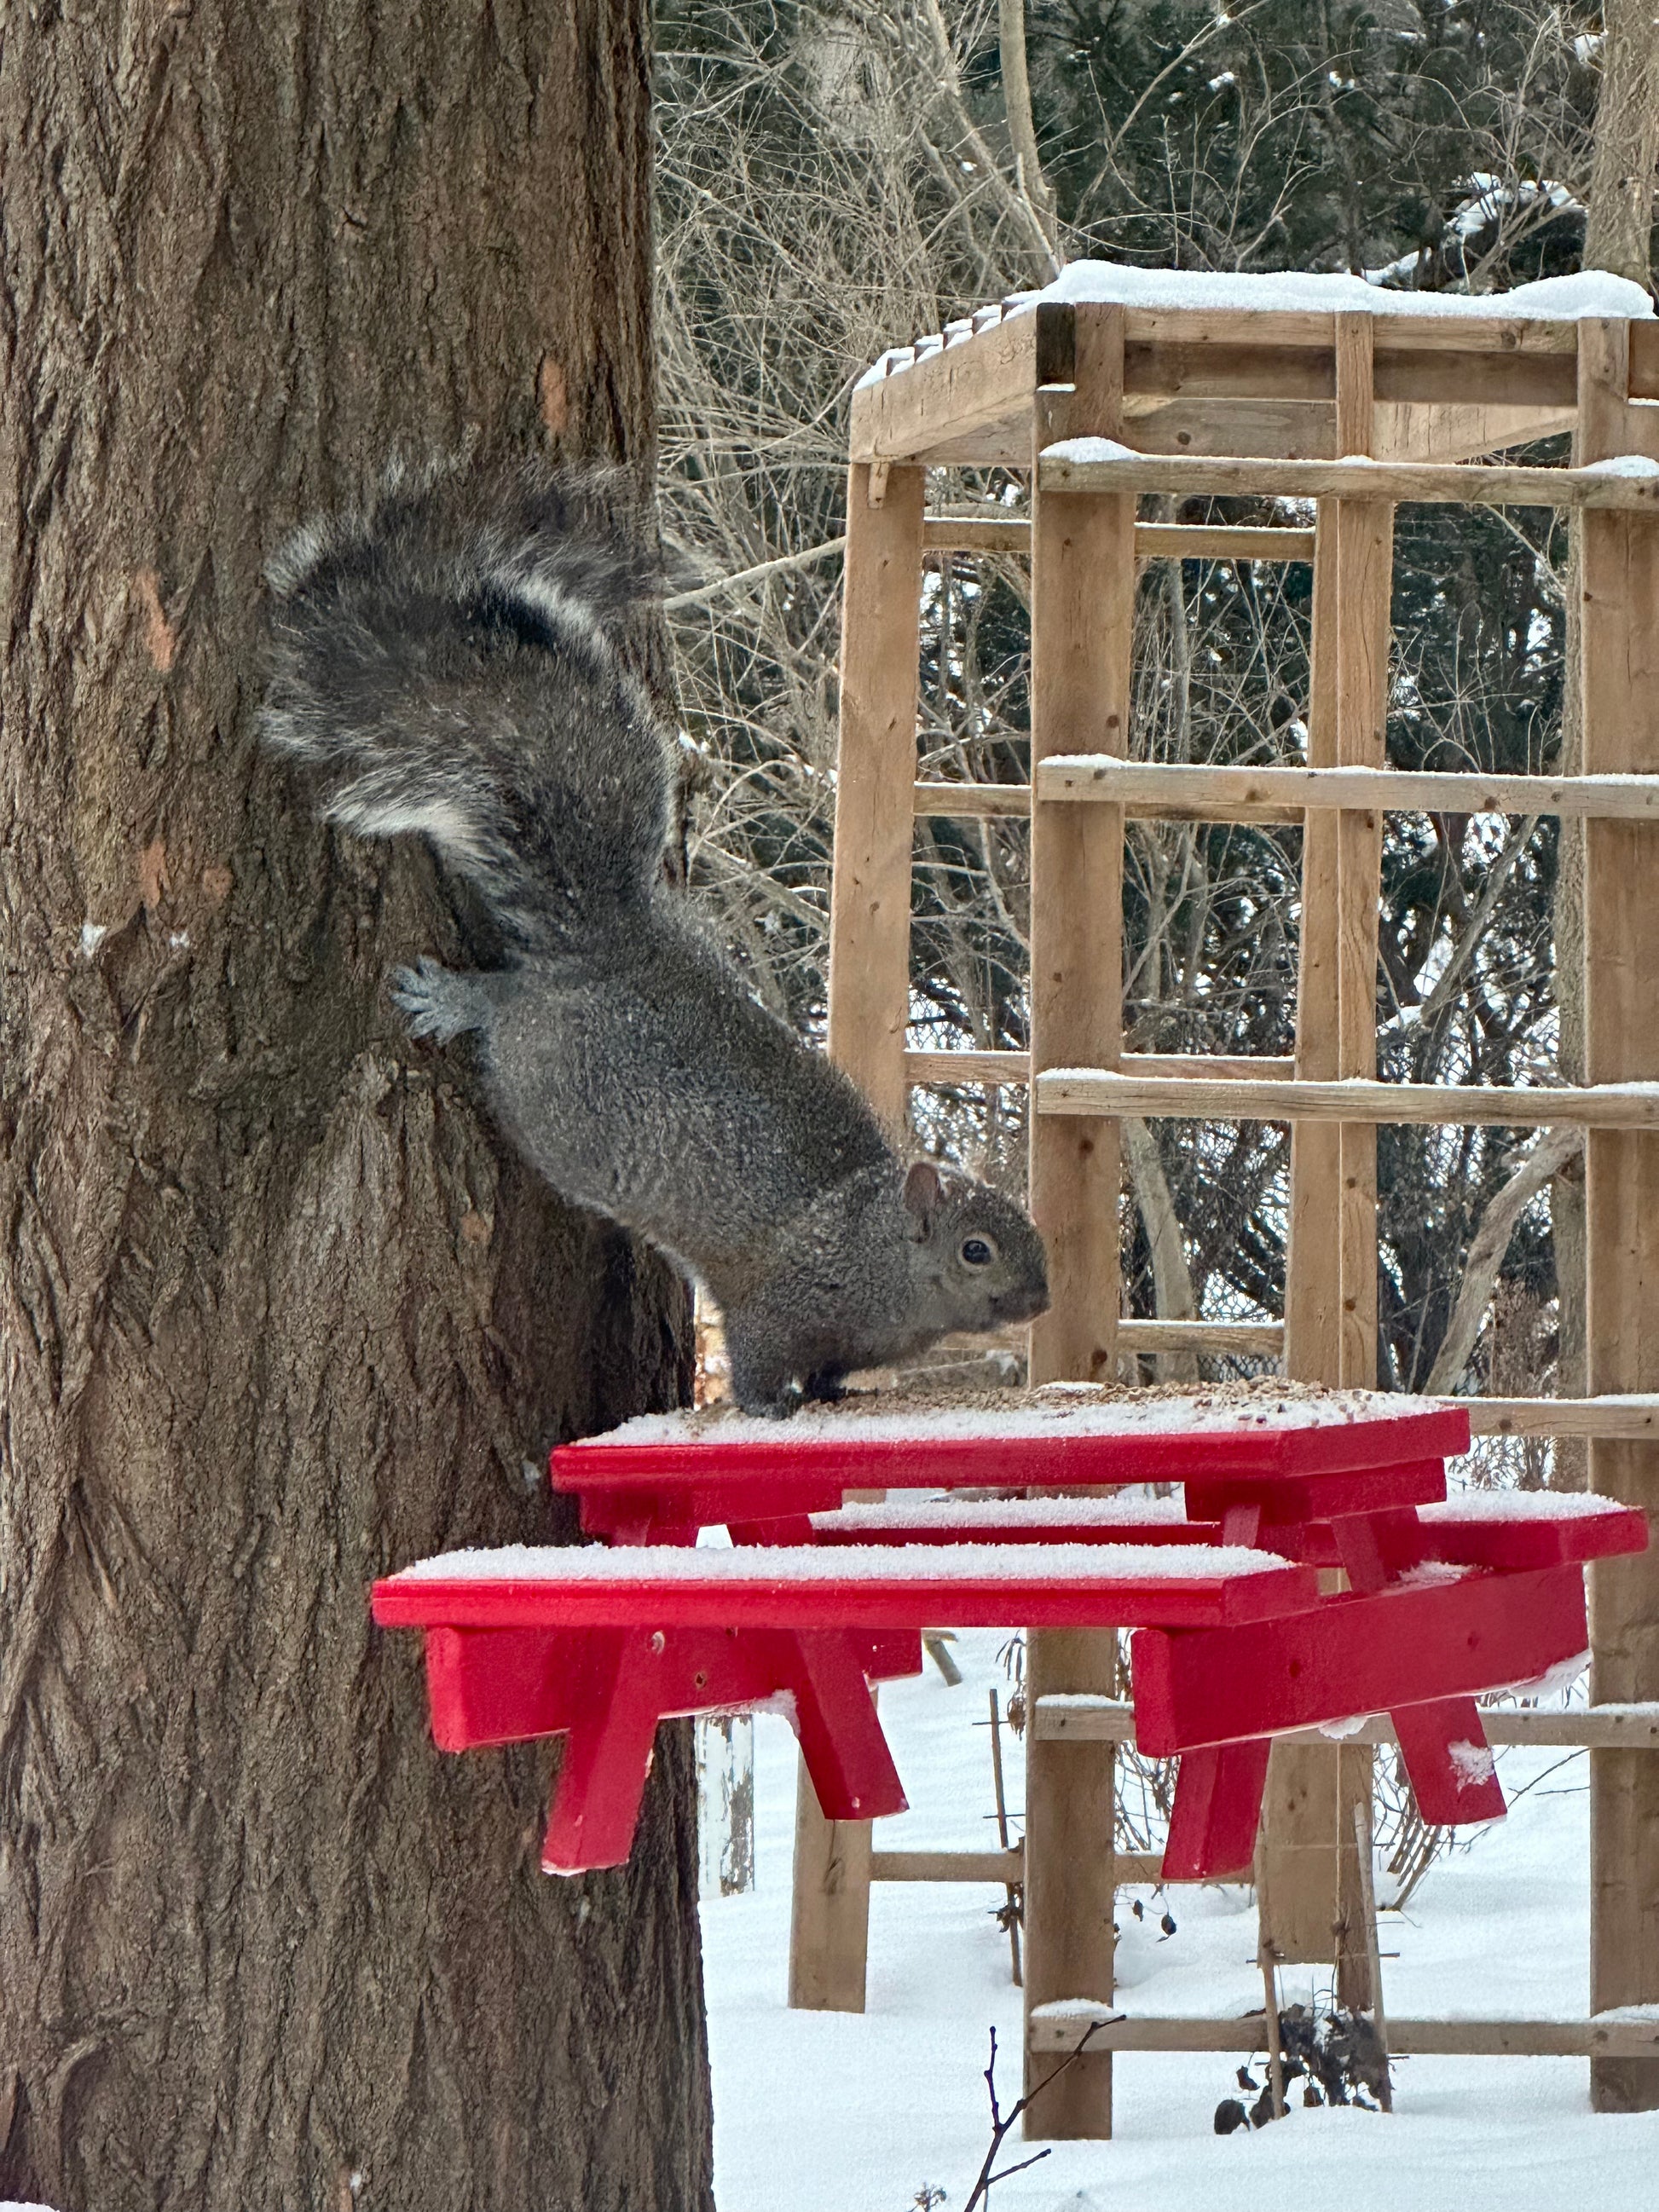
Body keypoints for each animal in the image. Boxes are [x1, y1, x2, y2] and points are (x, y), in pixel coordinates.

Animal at [259, 459, 1053, 1415]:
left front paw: (831, 1394)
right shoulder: (776, 1301)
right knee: (506, 1006)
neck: (872, 1247)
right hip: (548, 1094)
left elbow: (830, 1367)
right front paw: (766, 1407)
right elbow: (758, 1353)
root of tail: (603, 952)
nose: (1040, 1297)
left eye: (1029, 1232)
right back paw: (454, 997)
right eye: (976, 1249)